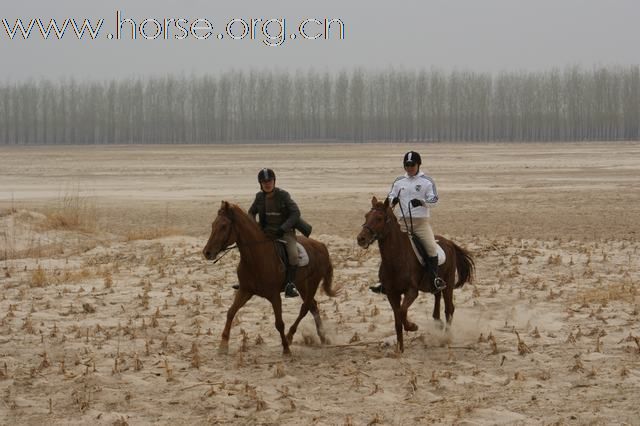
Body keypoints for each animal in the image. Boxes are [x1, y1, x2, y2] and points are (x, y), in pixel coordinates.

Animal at [204, 201, 336, 354]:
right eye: (213, 224)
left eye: (224, 226)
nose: (207, 252)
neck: (257, 257)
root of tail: (321, 246)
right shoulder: (245, 291)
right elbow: (231, 312)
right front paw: (223, 345)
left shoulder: (274, 296)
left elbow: (279, 323)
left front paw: (286, 349)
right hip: (302, 285)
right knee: (313, 306)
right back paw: (322, 337)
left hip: (313, 283)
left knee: (306, 307)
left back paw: (290, 337)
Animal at [356, 196, 476, 352]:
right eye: (366, 216)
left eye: (379, 218)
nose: (361, 239)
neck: (396, 259)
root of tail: (450, 243)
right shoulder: (392, 294)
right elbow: (397, 319)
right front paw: (400, 349)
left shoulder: (411, 292)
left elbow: (402, 312)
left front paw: (412, 326)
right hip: (435, 285)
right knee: (437, 301)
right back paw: (438, 325)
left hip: (448, 285)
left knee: (449, 309)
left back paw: (446, 338)